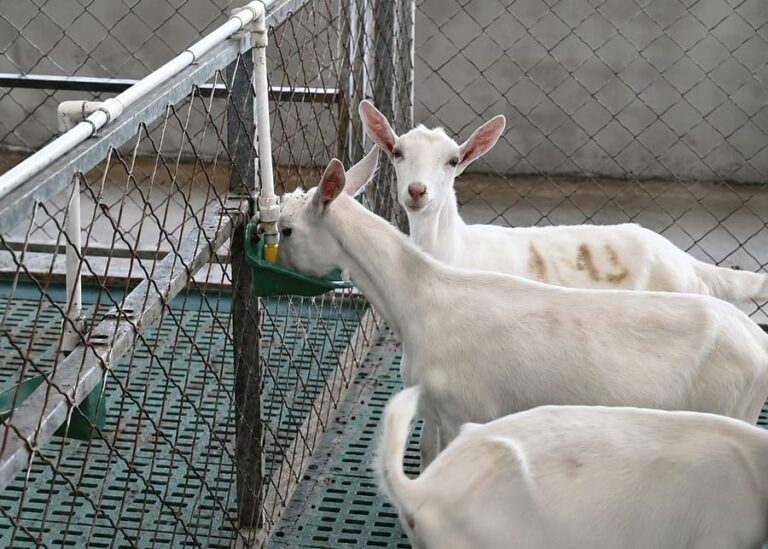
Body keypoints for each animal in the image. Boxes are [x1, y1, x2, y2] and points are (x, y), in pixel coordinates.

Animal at [276, 153, 768, 467]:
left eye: (284, 230)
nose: (275, 266)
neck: (422, 301)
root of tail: (756, 340)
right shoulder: (436, 410)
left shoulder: (467, 409)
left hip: (727, 406)